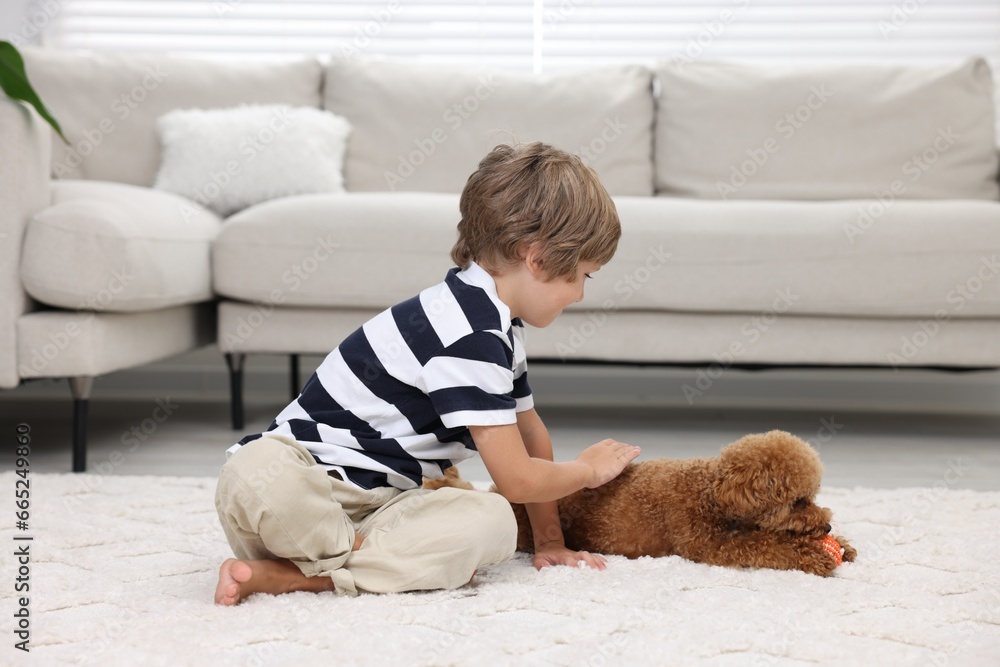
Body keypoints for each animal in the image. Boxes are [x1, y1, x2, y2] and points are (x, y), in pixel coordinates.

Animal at [426, 430, 856, 576]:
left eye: (814, 496)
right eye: (798, 501)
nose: (826, 526)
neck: (712, 491)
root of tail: (501, 496)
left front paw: (842, 545)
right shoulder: (709, 544)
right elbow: (765, 544)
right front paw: (812, 555)